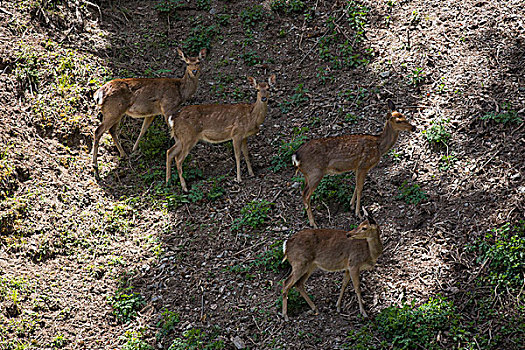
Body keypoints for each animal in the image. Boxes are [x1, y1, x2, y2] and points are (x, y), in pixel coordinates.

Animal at [91, 47, 206, 176]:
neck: (181, 92)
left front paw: (134, 149)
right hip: (114, 110)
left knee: (112, 130)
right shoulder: (167, 107)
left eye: (198, 62)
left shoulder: (153, 112)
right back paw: (95, 164)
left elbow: (143, 129)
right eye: (187, 63)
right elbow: (171, 129)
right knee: (98, 130)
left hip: (116, 112)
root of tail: (99, 93)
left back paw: (124, 154)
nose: (194, 71)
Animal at [290, 100, 414, 228]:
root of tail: (296, 156)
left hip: (307, 174)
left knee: (303, 192)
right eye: (398, 121)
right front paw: (358, 214)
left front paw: (351, 205)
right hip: (315, 172)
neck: (379, 147)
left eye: (404, 116)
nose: (413, 127)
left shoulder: (357, 167)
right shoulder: (364, 165)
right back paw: (313, 223)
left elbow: (356, 186)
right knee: (306, 195)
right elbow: (360, 188)